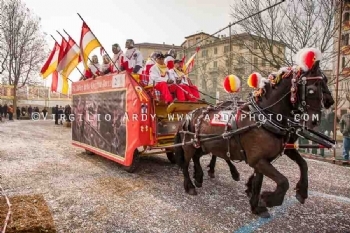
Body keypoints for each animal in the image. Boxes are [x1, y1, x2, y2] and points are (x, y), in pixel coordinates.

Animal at [174, 61, 328, 218]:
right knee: (185, 163)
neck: (263, 118)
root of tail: (189, 115)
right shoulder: (258, 160)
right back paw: (190, 186)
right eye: (311, 89)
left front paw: (256, 205)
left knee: (198, 157)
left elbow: (262, 180)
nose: (315, 121)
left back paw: (200, 177)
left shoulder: (263, 159)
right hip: (189, 145)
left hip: (204, 145)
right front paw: (268, 199)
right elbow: (283, 182)